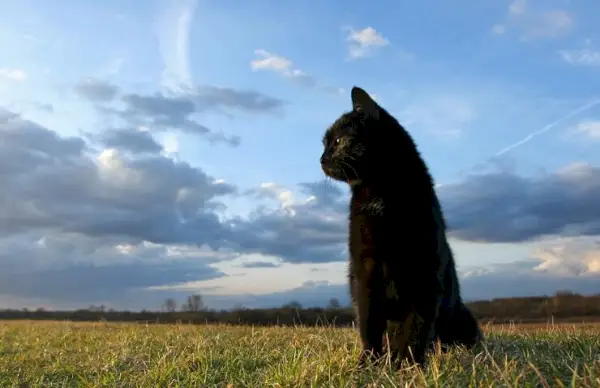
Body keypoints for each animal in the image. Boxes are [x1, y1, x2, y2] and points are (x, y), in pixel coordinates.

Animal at [318, 85, 482, 366]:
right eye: (325, 144)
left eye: (337, 141)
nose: (321, 158)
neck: (379, 193)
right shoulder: (365, 267)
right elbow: (369, 321)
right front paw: (368, 363)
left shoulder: (426, 269)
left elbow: (416, 326)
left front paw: (408, 365)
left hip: (463, 318)